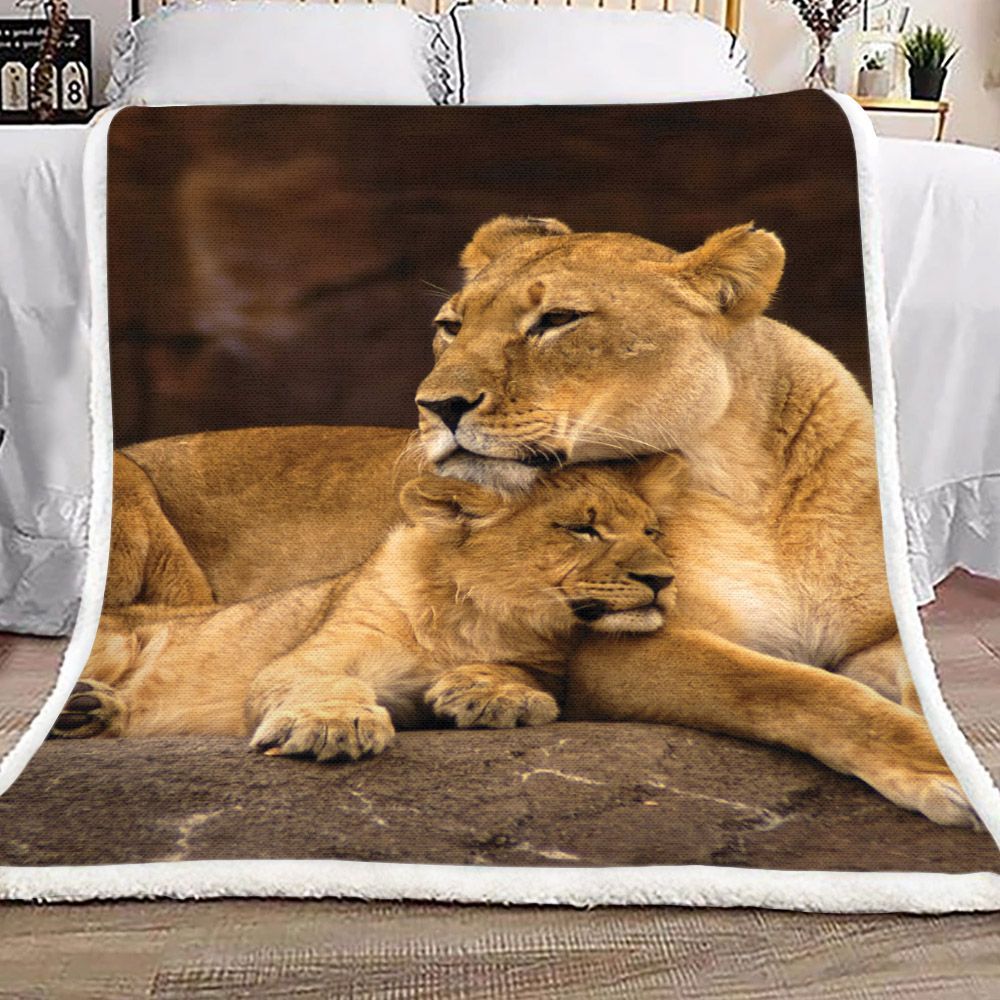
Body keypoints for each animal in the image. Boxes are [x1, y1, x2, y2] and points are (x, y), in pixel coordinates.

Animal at [56, 466, 676, 758]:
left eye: (651, 532)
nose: (664, 579)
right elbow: (323, 681)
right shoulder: (313, 655)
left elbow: (520, 673)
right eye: (581, 529)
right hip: (118, 639)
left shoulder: (543, 662)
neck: (477, 620)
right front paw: (333, 725)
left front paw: (492, 693)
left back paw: (89, 710)